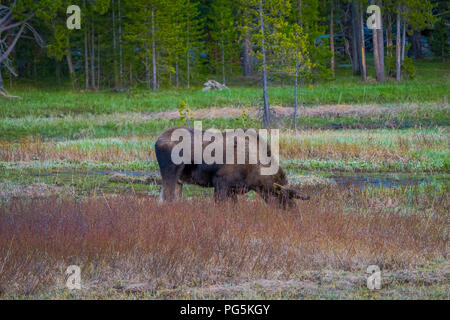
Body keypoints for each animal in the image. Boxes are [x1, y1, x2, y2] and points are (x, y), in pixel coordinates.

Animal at [155, 125, 310, 208]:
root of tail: (156, 141)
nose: (296, 214)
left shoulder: (233, 189)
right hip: (171, 174)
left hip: (178, 181)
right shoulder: (220, 182)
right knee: (167, 198)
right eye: (285, 197)